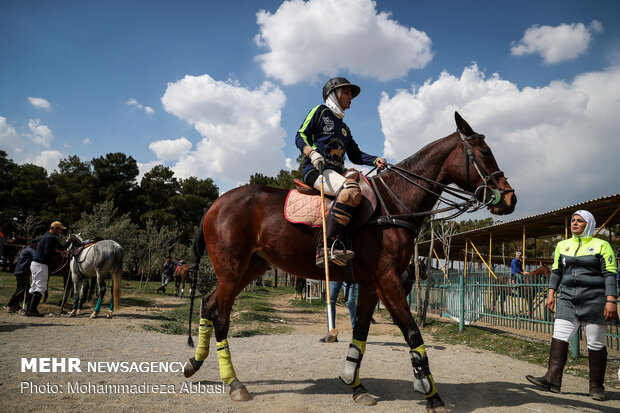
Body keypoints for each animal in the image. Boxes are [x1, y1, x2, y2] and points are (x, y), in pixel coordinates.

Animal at [184, 112, 520, 412]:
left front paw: (355, 385)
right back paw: (234, 383)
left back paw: (194, 364)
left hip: (252, 266)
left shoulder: (371, 284)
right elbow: (412, 332)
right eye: (485, 152)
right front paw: (431, 394)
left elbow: (360, 333)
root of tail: (214, 204)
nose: (510, 198)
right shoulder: (389, 279)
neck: (394, 203)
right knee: (221, 314)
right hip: (232, 267)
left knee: (209, 304)